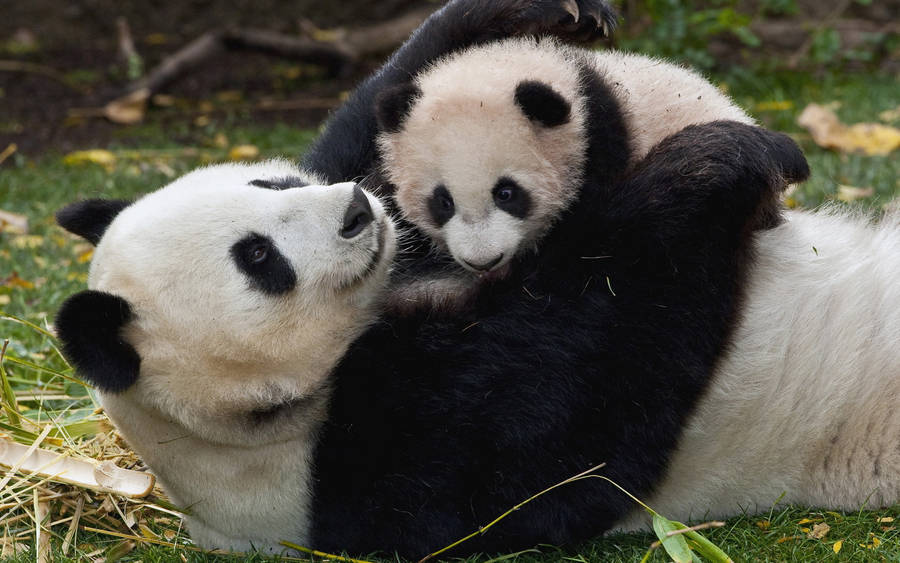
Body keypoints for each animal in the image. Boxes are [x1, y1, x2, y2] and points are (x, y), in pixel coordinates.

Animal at [53, 121, 819, 557]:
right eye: (258, 258)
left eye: (268, 181)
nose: (357, 210)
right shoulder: (378, 467)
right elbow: (592, 380)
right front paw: (721, 159)